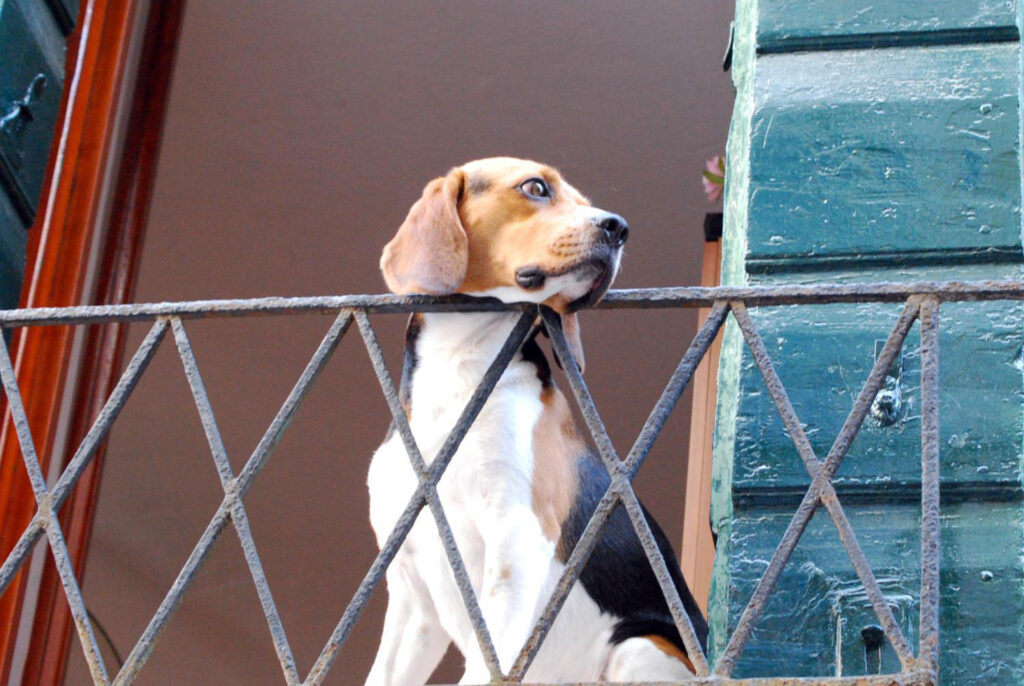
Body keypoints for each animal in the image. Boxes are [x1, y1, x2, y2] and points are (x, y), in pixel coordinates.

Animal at [364, 158, 708, 683]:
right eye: (536, 188)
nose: (619, 228)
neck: (459, 364)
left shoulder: (515, 540)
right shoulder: (413, 599)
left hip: (637, 648)